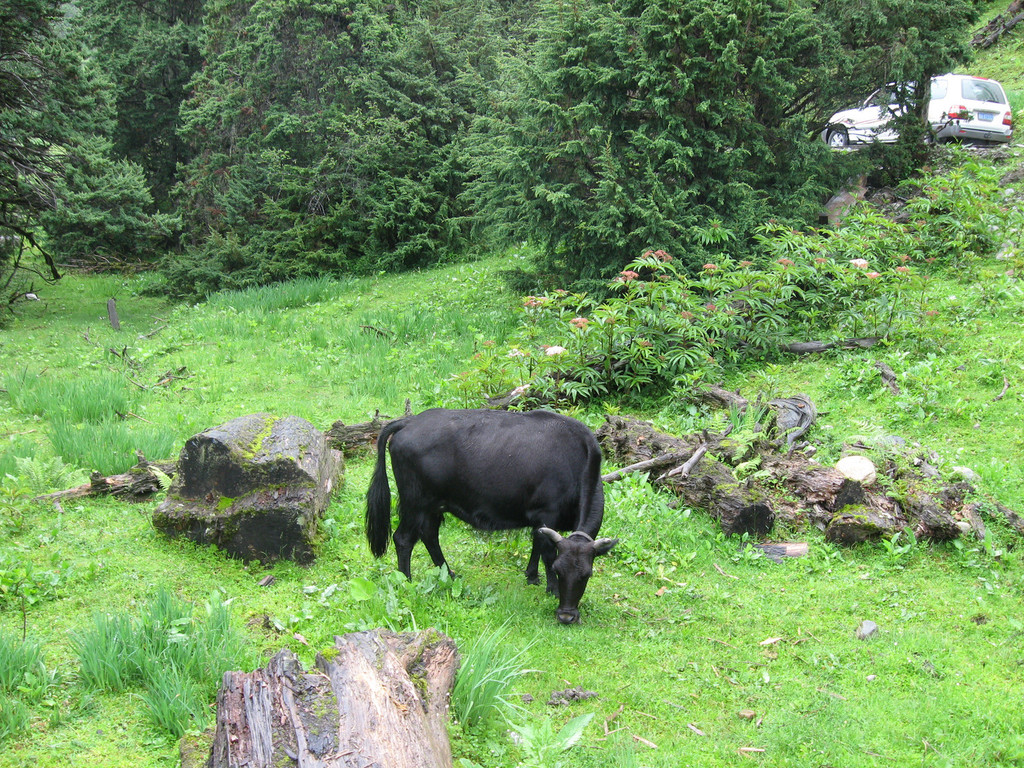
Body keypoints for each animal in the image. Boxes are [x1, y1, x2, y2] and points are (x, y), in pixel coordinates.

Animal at [366, 409, 614, 626]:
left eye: (587, 574)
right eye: (560, 570)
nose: (566, 616)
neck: (577, 460)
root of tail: (409, 421)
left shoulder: (539, 521)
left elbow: (536, 545)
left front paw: (532, 576)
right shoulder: (547, 514)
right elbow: (547, 553)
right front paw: (551, 589)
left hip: (434, 507)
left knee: (429, 536)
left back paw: (449, 574)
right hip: (415, 504)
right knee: (404, 539)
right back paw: (406, 581)